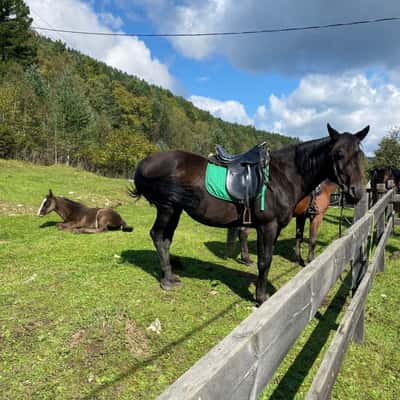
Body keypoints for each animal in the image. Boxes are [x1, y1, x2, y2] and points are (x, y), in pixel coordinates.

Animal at [132, 123, 368, 304]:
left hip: (175, 210)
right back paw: (166, 280)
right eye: (339, 154)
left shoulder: (278, 226)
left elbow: (273, 255)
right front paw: (261, 298)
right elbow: (265, 261)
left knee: (166, 239)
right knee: (158, 236)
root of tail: (144, 162)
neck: (284, 176)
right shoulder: (268, 226)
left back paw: (170, 276)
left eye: (360, 155)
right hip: (167, 208)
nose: (357, 191)